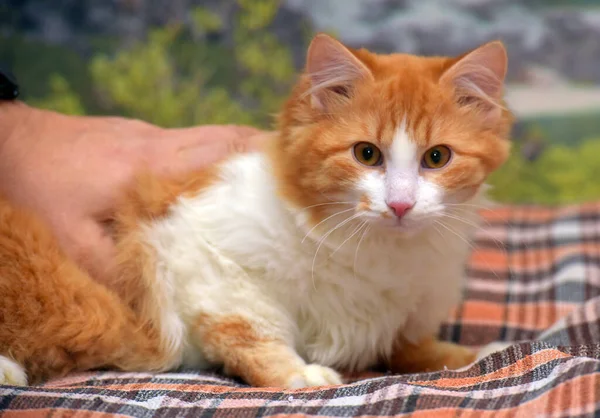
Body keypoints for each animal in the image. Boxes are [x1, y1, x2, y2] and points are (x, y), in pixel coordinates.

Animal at [0, 33, 510, 388]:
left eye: (437, 158)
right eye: (366, 154)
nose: (400, 203)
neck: (379, 253)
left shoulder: (401, 319)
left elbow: (420, 350)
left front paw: (480, 353)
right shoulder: (202, 256)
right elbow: (249, 332)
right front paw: (299, 373)